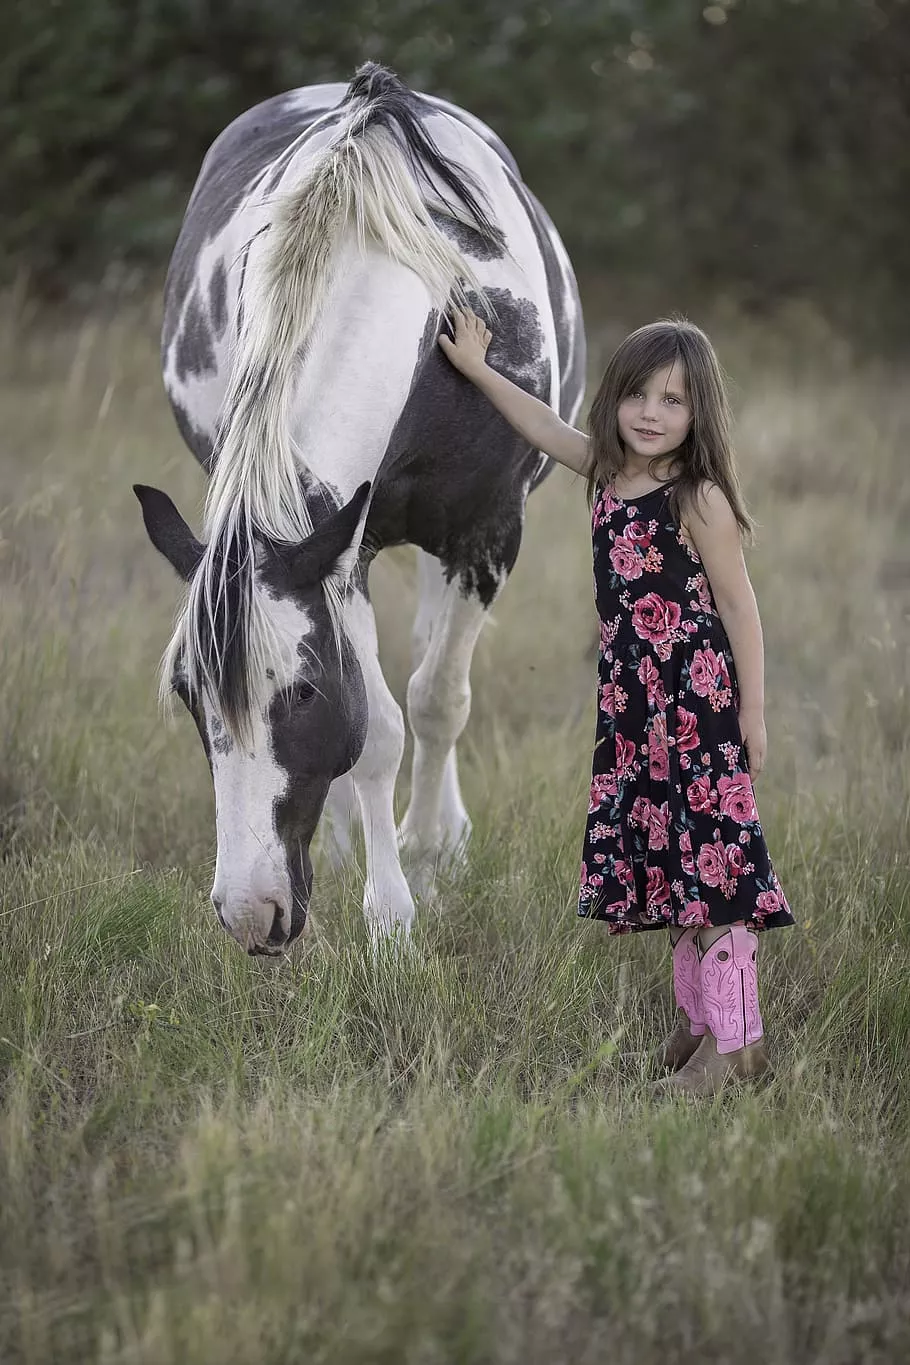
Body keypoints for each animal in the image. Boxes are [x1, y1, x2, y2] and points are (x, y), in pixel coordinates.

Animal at [135, 62, 586, 955]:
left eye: (303, 692)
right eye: (189, 695)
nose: (251, 914)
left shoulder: (487, 535)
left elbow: (438, 699)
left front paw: (428, 862)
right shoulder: (350, 543)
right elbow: (377, 729)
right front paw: (390, 913)